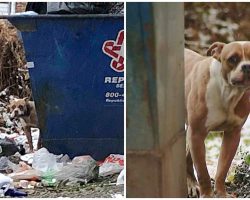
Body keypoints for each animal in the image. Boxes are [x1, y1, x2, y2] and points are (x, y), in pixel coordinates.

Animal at [185, 41, 250, 198]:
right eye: (233, 59)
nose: (247, 66)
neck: (228, 92)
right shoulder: (197, 133)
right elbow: (202, 171)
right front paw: (207, 195)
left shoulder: (233, 135)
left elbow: (223, 168)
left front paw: (221, 193)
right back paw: (192, 184)